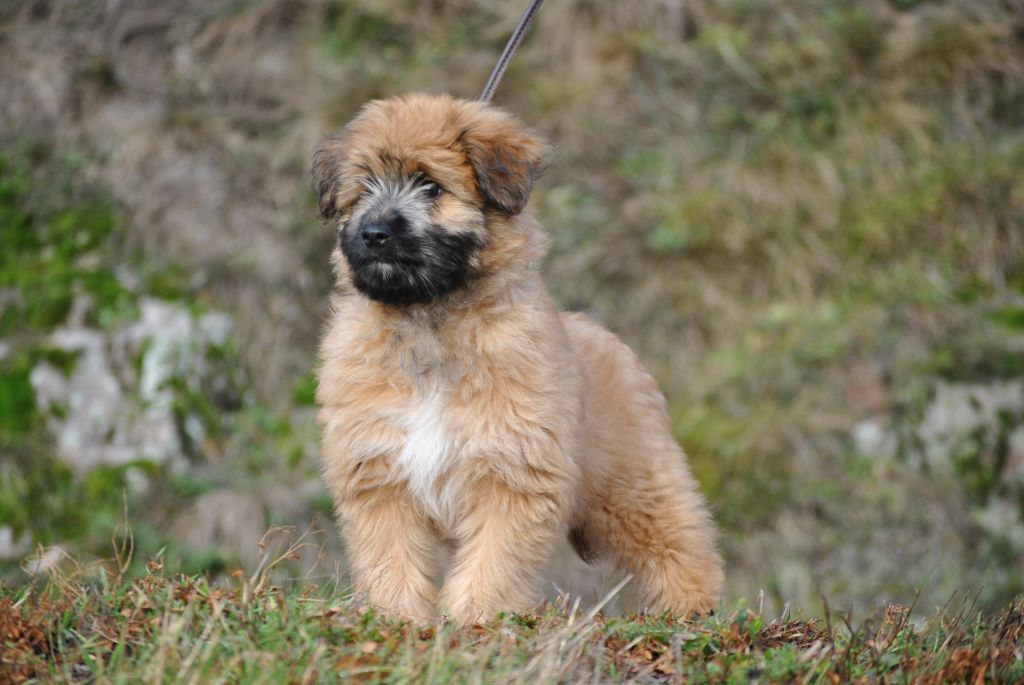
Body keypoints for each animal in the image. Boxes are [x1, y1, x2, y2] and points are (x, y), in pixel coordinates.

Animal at [311, 93, 720, 622]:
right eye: (362, 190)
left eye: (431, 186)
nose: (375, 233)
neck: (431, 321)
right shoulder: (380, 474)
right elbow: (390, 555)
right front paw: (396, 618)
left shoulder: (513, 473)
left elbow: (495, 559)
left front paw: (476, 620)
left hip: (633, 482)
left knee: (679, 539)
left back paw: (693, 609)